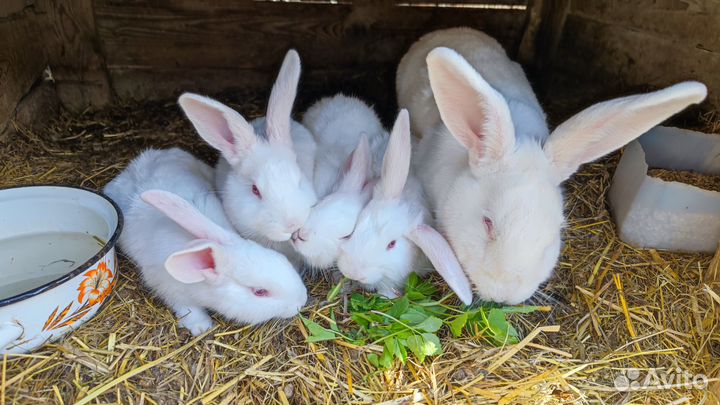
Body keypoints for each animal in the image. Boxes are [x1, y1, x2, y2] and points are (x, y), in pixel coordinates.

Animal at [103, 148, 308, 335]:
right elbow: (187, 308)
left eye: (282, 259)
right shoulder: (168, 287)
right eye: (259, 292)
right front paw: (201, 326)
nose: (302, 300)